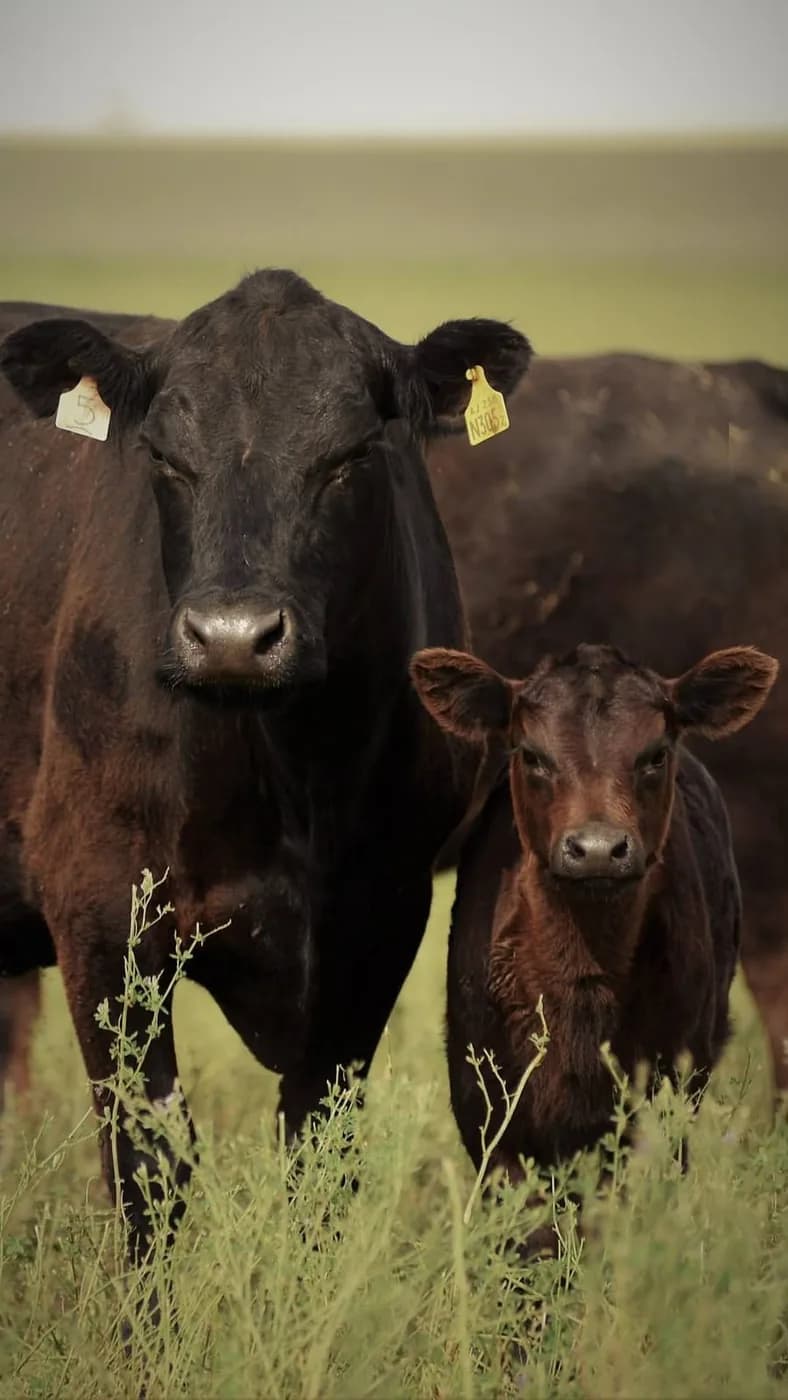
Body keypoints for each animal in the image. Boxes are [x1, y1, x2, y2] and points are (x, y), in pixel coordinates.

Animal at [0, 270, 532, 1255]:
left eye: (352, 455)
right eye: (163, 456)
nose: (232, 639)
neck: (290, 776)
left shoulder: (377, 913)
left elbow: (319, 1152)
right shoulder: (96, 900)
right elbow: (150, 1162)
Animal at [410, 640, 778, 1252]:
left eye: (655, 754)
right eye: (531, 754)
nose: (599, 849)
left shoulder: (662, 1095)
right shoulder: (487, 1106)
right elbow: (532, 1233)